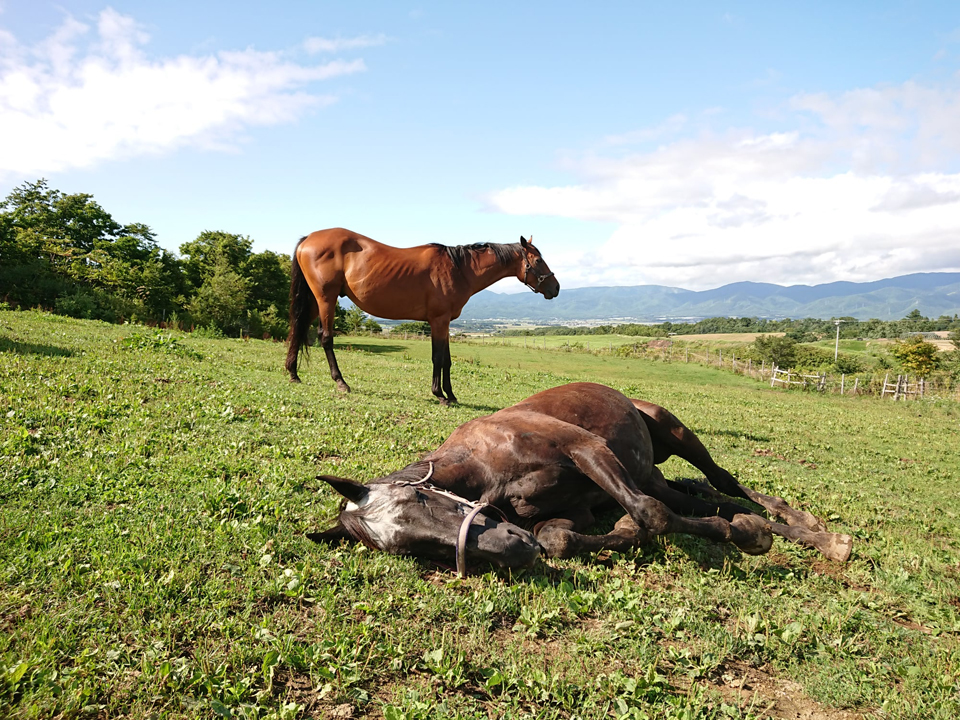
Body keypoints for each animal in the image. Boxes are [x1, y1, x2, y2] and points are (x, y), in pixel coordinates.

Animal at [284, 228, 560, 402]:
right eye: (538, 260)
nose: (555, 288)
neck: (460, 269)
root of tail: (308, 239)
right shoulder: (438, 320)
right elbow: (438, 358)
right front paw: (440, 395)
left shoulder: (445, 322)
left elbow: (447, 360)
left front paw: (451, 394)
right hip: (326, 299)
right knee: (325, 337)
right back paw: (340, 382)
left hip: (314, 300)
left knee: (298, 328)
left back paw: (293, 374)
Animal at [310, 382, 856, 572]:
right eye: (415, 550)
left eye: (422, 503)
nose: (514, 552)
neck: (484, 466)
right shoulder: (571, 513)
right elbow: (561, 540)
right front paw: (624, 531)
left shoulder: (587, 450)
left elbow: (655, 517)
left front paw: (745, 535)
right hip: (646, 471)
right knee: (699, 496)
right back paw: (809, 533)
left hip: (675, 434)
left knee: (721, 483)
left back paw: (810, 531)